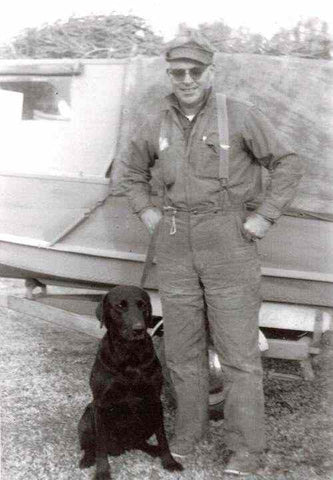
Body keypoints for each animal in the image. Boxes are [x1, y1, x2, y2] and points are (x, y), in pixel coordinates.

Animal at [78, 286, 182, 478]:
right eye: (120, 306)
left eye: (143, 306)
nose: (138, 329)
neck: (129, 356)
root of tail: (122, 447)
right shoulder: (100, 404)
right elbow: (100, 445)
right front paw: (102, 472)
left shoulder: (155, 401)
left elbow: (163, 437)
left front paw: (169, 461)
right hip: (88, 416)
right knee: (90, 445)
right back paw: (88, 459)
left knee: (140, 443)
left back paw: (153, 450)